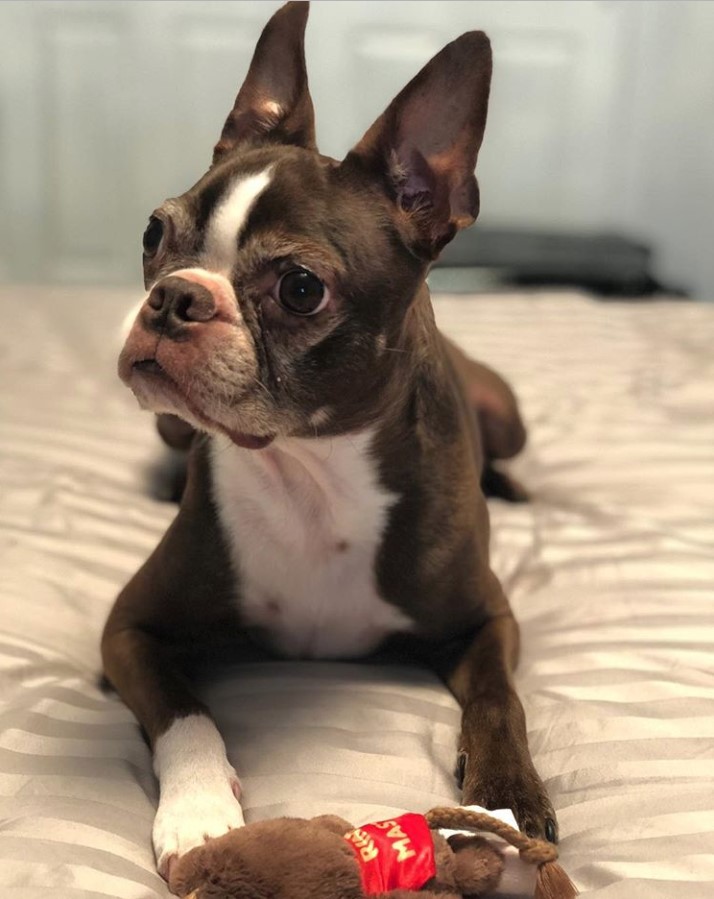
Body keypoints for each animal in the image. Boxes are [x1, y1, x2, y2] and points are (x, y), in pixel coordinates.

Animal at [101, 0, 556, 884]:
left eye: (301, 288)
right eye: (152, 234)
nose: (174, 297)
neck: (308, 469)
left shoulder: (487, 617)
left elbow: (498, 699)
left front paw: (505, 801)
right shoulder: (130, 627)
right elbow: (185, 710)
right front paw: (201, 813)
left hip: (508, 410)